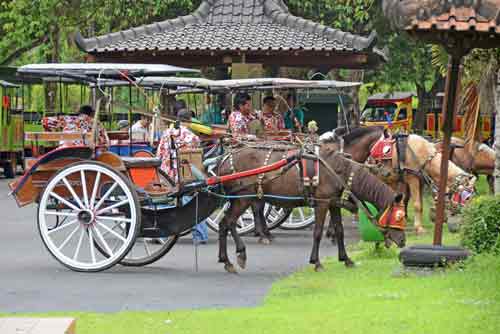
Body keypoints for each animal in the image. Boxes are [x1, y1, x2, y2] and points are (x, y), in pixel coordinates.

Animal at [216, 142, 406, 272]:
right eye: (399, 216)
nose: (403, 241)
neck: (339, 171)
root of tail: (223, 159)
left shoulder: (333, 203)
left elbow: (339, 230)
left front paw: (346, 259)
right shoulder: (322, 203)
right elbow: (317, 232)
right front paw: (317, 262)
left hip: (240, 198)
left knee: (224, 223)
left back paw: (227, 260)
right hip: (242, 197)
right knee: (229, 222)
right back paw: (240, 254)